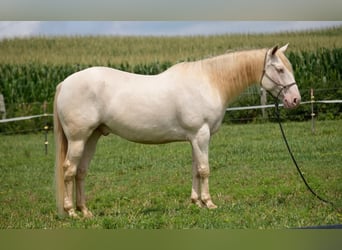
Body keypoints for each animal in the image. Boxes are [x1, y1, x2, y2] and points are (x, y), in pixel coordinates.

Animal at [54, 44, 302, 217]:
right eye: (280, 69)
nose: (295, 99)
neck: (209, 82)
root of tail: (64, 83)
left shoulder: (194, 138)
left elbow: (195, 169)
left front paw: (196, 202)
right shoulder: (201, 135)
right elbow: (204, 169)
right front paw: (209, 203)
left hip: (92, 137)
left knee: (81, 172)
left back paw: (85, 211)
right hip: (78, 139)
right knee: (69, 170)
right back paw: (71, 212)